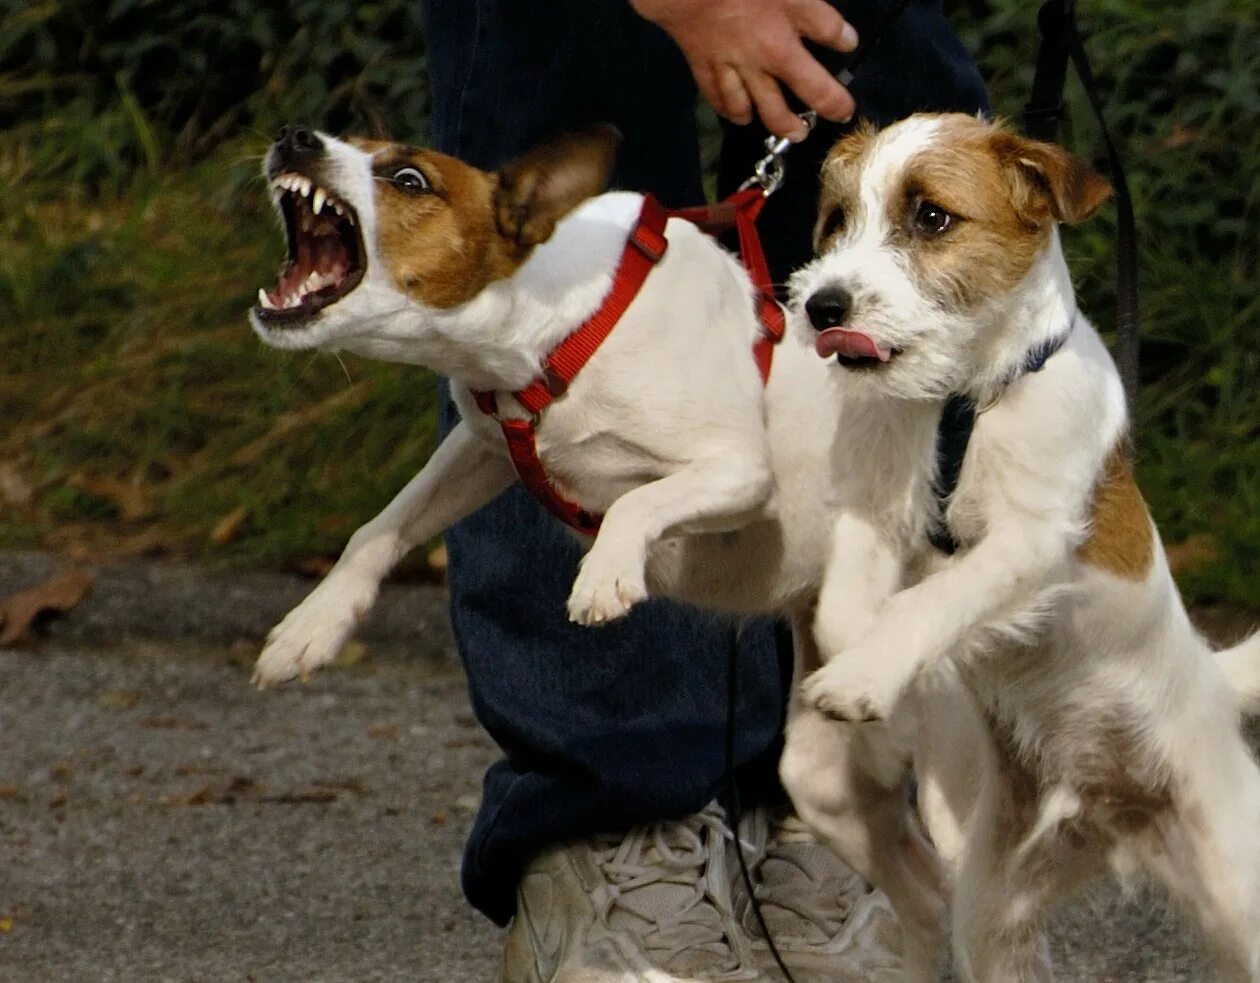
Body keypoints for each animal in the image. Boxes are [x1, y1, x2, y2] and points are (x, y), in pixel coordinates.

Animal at [781, 109, 1260, 983]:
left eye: (932, 216)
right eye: (836, 220)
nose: (824, 306)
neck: (961, 403)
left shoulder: (1029, 543)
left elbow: (936, 596)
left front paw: (869, 675)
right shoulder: (875, 516)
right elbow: (846, 610)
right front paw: (888, 677)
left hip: (1236, 882)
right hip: (995, 909)